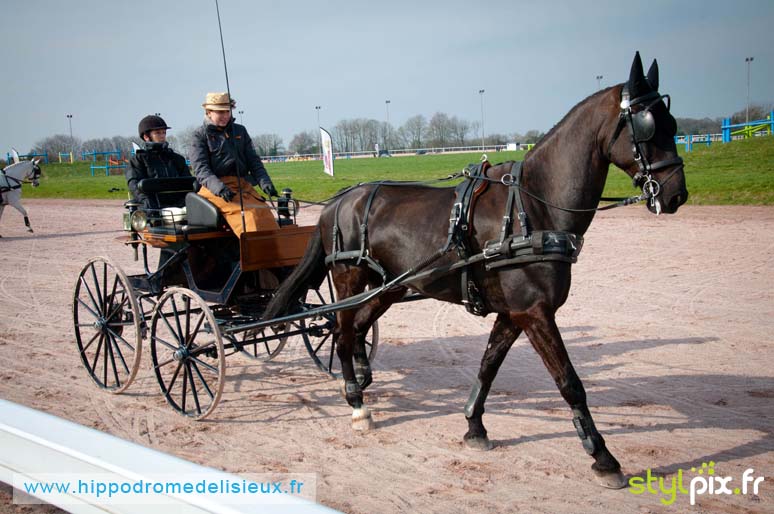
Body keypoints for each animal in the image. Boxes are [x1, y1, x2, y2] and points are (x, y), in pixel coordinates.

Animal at [264, 53, 688, 488]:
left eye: (673, 124)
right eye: (648, 126)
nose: (676, 193)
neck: (532, 209)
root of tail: (338, 200)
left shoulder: (513, 313)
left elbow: (488, 366)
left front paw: (474, 427)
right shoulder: (535, 313)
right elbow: (569, 382)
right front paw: (603, 457)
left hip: (389, 286)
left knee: (360, 327)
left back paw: (363, 380)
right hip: (349, 279)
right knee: (343, 331)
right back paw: (355, 400)